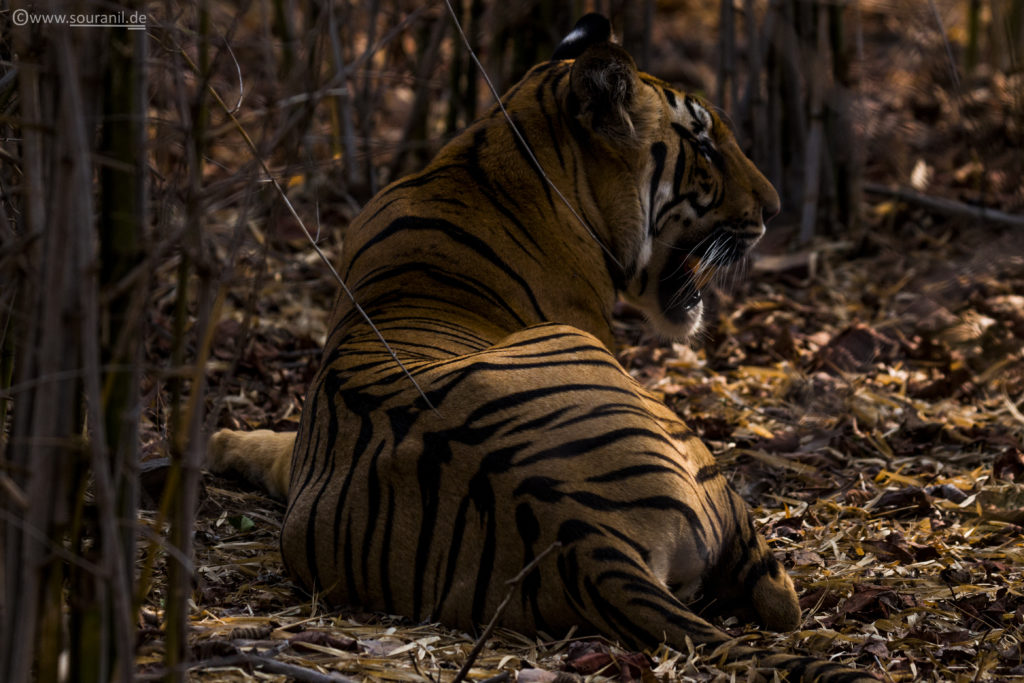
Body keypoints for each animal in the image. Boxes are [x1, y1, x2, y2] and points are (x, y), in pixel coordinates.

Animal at [211, 13, 876, 679]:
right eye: (706, 146)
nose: (775, 208)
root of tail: (589, 540)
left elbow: (276, 444)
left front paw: (220, 441)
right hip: (686, 450)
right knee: (778, 596)